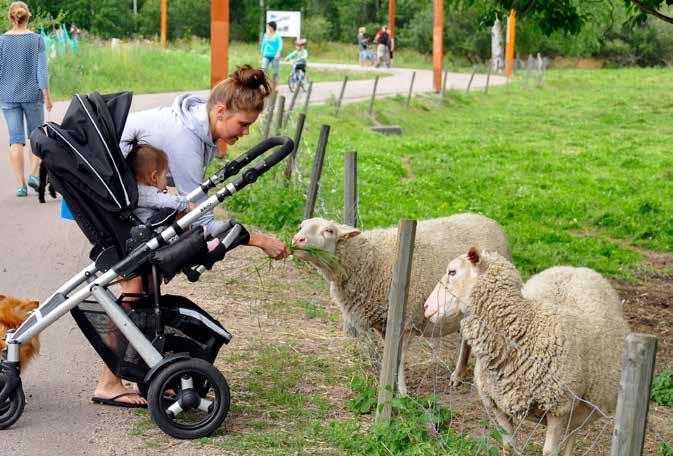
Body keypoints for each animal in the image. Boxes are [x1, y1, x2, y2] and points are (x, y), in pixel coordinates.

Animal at [292, 214, 512, 396]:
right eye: (301, 226)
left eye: (329, 230)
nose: (297, 240)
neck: (370, 260)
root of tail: (489, 220)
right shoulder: (383, 323)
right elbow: (389, 356)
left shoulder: (406, 320)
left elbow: (399, 359)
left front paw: (402, 393)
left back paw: (460, 375)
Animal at [426, 249, 632, 456]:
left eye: (452, 272)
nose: (426, 307)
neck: (524, 331)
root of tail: (577, 268)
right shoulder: (497, 404)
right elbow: (509, 447)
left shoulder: (558, 407)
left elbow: (549, 452)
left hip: (584, 405)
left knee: (572, 436)